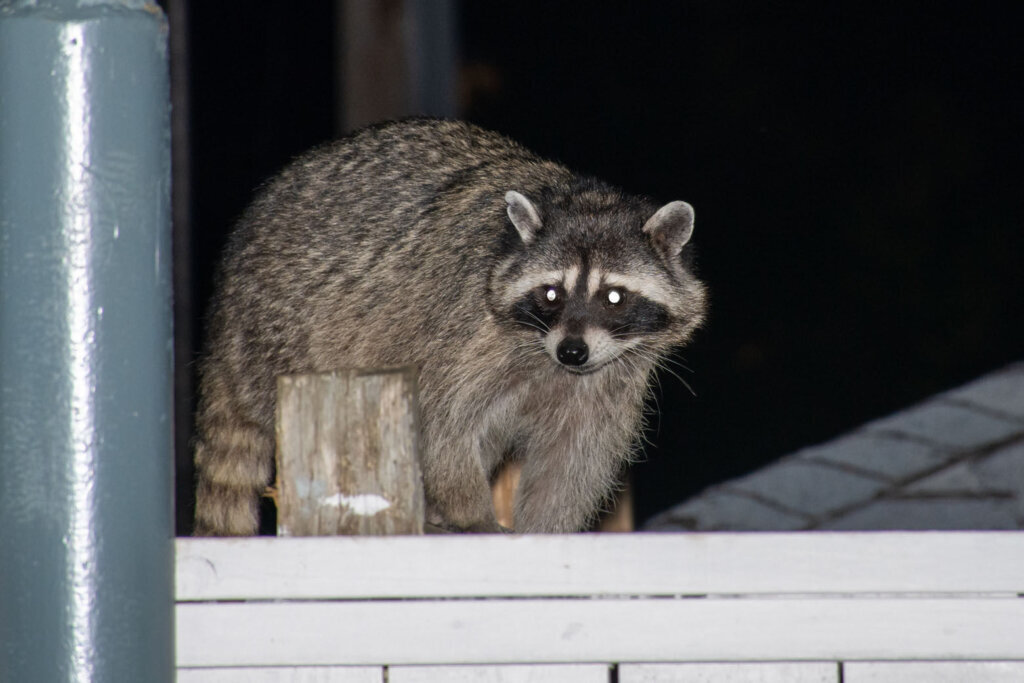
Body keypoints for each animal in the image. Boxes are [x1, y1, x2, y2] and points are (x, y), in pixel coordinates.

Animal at [194, 118, 707, 536]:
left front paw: (544, 527)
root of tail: (225, 314)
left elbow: (576, 458)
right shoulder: (460, 329)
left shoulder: (609, 378)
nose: (572, 351)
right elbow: (442, 424)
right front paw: (471, 513)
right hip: (284, 326)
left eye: (614, 297)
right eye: (551, 294)